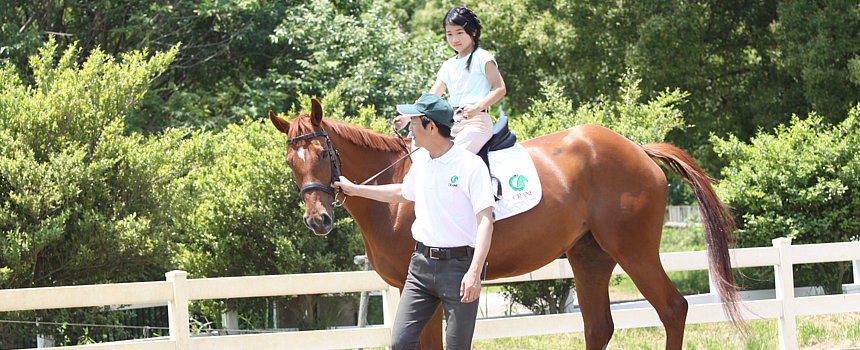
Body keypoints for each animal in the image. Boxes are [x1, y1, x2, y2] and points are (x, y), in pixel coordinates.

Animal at [268, 99, 740, 350]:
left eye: (323, 154)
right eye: (290, 161)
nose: (318, 220)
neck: (398, 192)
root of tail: (638, 149)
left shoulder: (426, 289)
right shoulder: (410, 289)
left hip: (634, 251)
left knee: (672, 309)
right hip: (590, 257)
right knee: (598, 326)